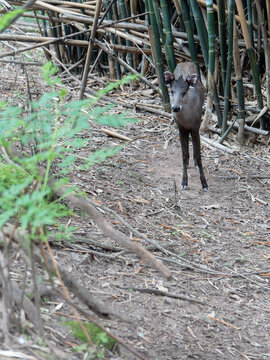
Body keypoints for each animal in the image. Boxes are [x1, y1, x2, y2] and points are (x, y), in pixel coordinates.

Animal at [165, 62, 209, 191]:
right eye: (172, 91)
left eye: (184, 92)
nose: (175, 108)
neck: (187, 119)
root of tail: (184, 62)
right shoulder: (180, 127)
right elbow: (183, 156)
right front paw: (184, 182)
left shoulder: (196, 127)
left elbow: (199, 157)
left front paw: (204, 184)